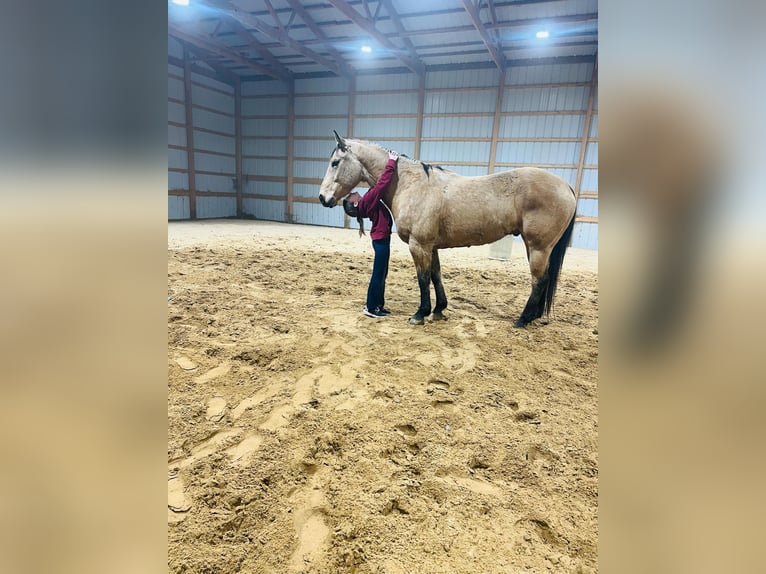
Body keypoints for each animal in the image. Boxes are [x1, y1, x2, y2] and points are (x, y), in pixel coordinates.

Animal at [318, 132, 576, 328]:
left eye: (335, 163)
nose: (322, 198)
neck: (412, 184)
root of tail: (566, 186)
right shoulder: (431, 246)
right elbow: (436, 275)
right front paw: (439, 310)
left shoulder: (419, 245)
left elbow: (423, 278)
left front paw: (420, 314)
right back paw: (533, 316)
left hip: (538, 247)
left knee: (539, 280)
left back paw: (523, 319)